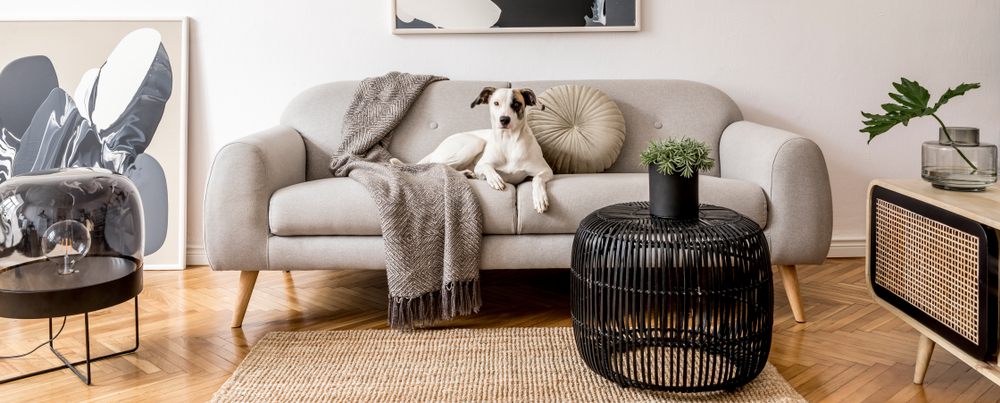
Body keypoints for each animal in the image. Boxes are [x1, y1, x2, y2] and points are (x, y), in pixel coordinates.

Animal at [394, 87, 556, 215]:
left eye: (516, 104)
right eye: (496, 103)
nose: (504, 119)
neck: (508, 141)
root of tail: (436, 149)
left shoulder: (546, 170)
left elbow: (537, 179)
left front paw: (540, 198)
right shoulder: (481, 165)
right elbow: (487, 168)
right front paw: (495, 179)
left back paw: (466, 174)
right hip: (474, 143)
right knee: (439, 165)